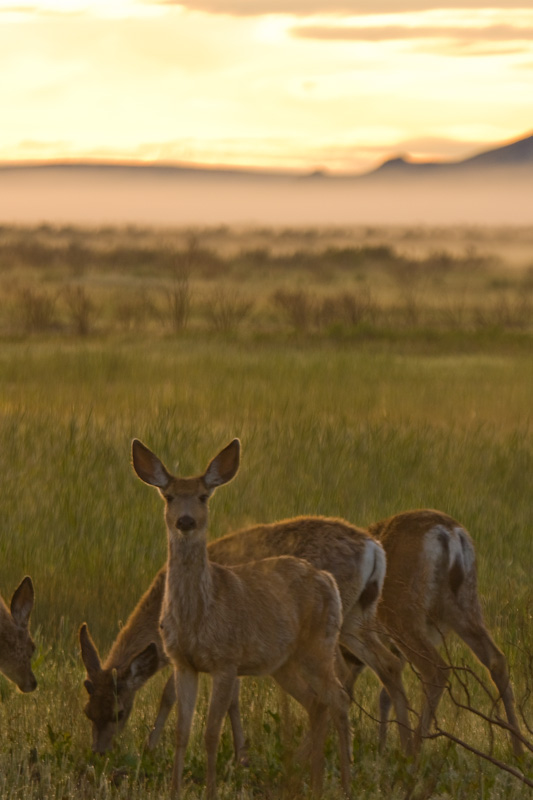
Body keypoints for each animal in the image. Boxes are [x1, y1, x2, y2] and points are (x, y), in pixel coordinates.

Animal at [130, 438, 354, 800]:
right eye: (170, 496)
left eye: (203, 496)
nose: (186, 521)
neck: (198, 614)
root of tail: (327, 580)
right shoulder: (183, 662)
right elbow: (182, 732)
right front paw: (175, 789)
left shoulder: (227, 659)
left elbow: (210, 733)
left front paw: (210, 790)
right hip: (285, 662)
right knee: (316, 702)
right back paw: (314, 782)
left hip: (318, 646)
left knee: (339, 698)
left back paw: (345, 782)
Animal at [368, 510, 520, 760]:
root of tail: (450, 534)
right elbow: (383, 691)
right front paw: (381, 746)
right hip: (465, 603)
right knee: (497, 659)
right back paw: (518, 748)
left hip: (402, 612)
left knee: (435, 669)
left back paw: (414, 750)